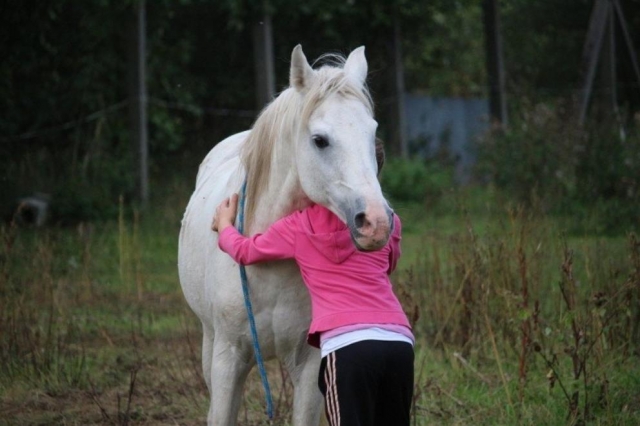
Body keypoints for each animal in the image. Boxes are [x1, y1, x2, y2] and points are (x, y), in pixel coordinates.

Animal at [178, 45, 394, 426]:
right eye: (320, 140)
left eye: (372, 134)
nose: (377, 222)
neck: (269, 262)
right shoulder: (227, 359)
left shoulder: (309, 367)